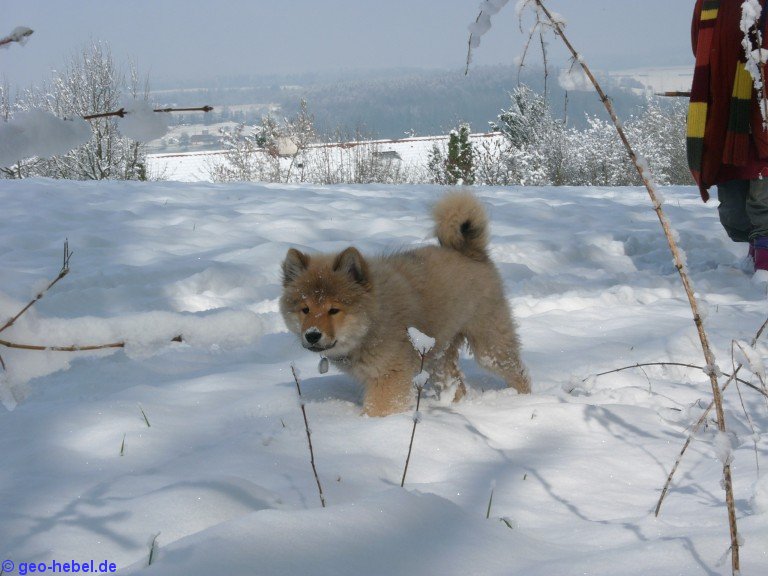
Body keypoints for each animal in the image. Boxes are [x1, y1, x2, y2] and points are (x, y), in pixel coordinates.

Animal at [279, 192, 530, 416]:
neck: (374, 319)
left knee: (518, 374)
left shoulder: (389, 376)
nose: (312, 335)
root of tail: (471, 252)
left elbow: (376, 411)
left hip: (491, 345)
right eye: (305, 309)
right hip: (438, 356)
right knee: (456, 385)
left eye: (334, 310)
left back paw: (523, 401)